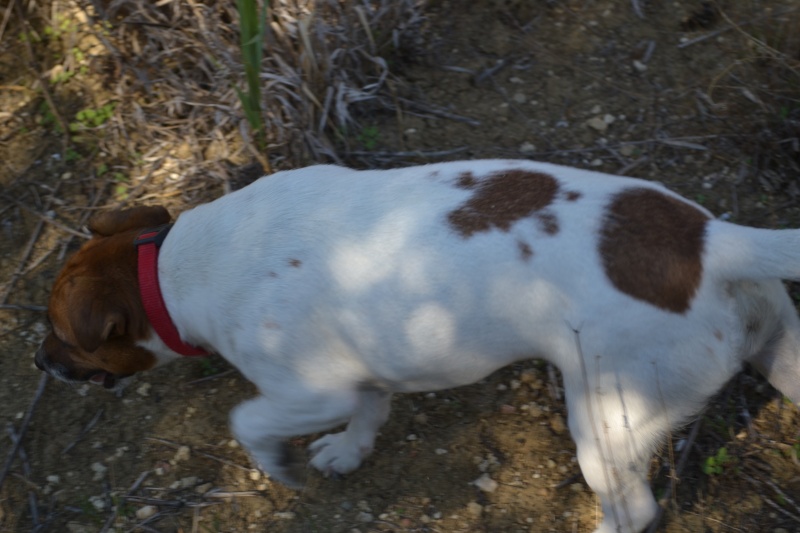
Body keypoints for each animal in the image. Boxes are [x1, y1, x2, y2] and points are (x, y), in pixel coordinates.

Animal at [36, 159, 800, 532]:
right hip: (778, 349)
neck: (175, 267)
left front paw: (280, 467)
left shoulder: (309, 389)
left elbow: (247, 420)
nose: (41, 362)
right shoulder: (361, 378)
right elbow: (368, 414)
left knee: (633, 511)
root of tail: (715, 242)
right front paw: (344, 454)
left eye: (63, 334)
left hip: (606, 420)